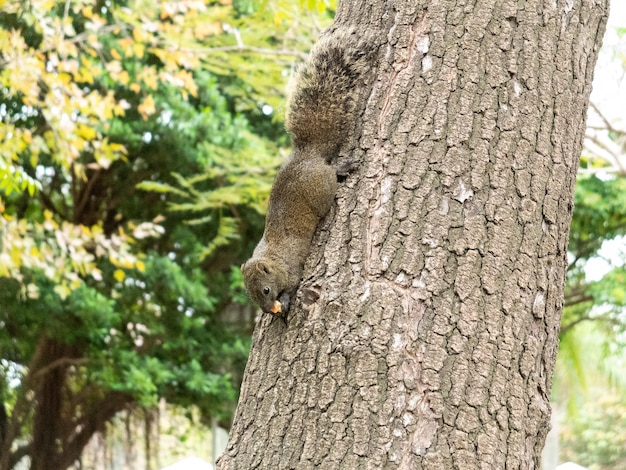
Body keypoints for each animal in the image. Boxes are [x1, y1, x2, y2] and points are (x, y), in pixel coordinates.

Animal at [241, 27, 372, 318]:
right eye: (250, 296)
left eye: (265, 290)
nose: (268, 311)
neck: (274, 259)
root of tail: (307, 154)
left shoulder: (293, 269)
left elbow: (293, 285)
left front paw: (286, 301)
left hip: (321, 189)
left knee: (330, 177)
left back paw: (341, 168)